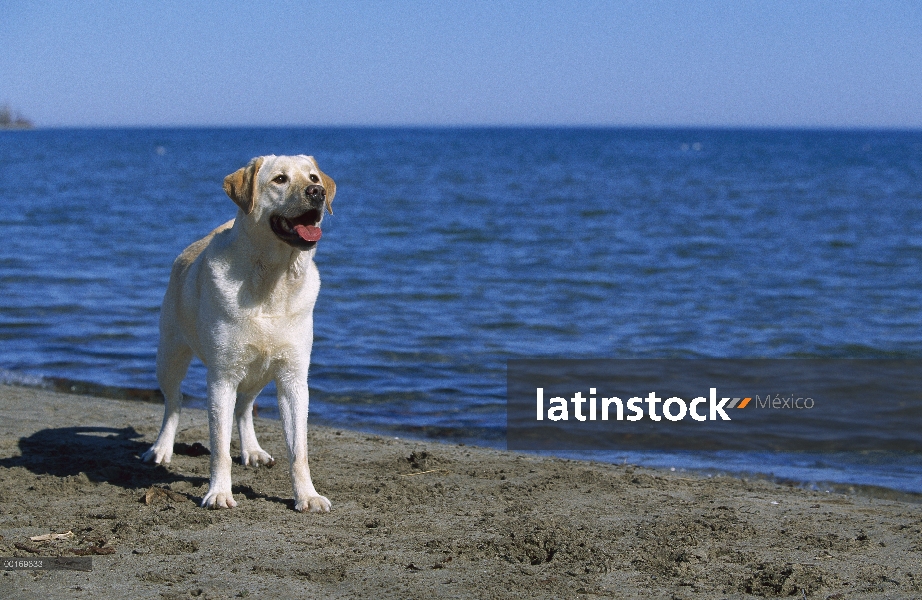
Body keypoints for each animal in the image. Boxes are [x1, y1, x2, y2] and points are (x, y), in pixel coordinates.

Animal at [146, 154, 340, 510]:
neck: (273, 280)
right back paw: (161, 449)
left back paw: (252, 449)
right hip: (170, 356)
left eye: (313, 177)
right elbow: (220, 448)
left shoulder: (293, 378)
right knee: (174, 402)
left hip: (258, 371)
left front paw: (307, 495)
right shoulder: (222, 377)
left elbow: (299, 451)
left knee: (245, 407)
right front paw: (219, 492)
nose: (317, 193)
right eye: (280, 179)